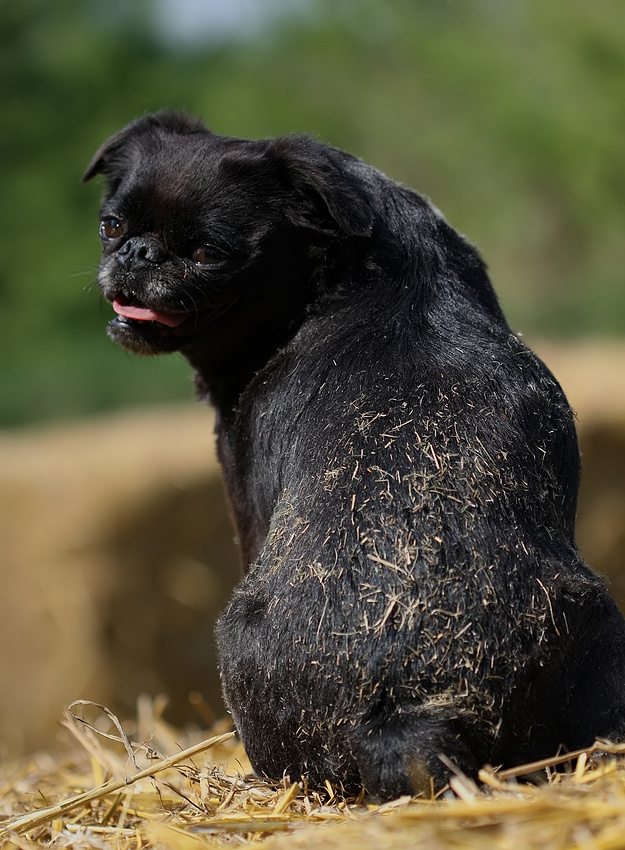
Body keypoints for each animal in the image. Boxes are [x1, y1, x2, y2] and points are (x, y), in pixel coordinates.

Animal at [83, 111, 624, 796]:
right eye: (111, 226)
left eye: (209, 254)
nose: (137, 251)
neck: (344, 275)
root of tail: (409, 714)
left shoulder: (244, 488)